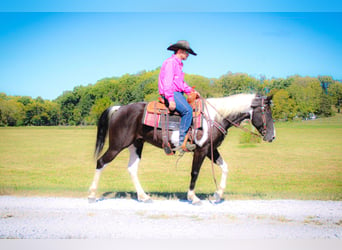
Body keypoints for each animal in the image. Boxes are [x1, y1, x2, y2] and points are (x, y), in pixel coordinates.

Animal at [87, 93, 276, 204]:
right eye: (266, 111)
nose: (272, 136)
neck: (215, 117)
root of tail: (119, 108)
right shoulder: (201, 150)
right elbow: (195, 172)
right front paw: (193, 197)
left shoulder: (211, 150)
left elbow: (225, 168)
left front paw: (217, 195)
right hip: (117, 145)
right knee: (101, 162)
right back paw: (92, 195)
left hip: (136, 145)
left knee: (132, 169)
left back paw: (144, 196)